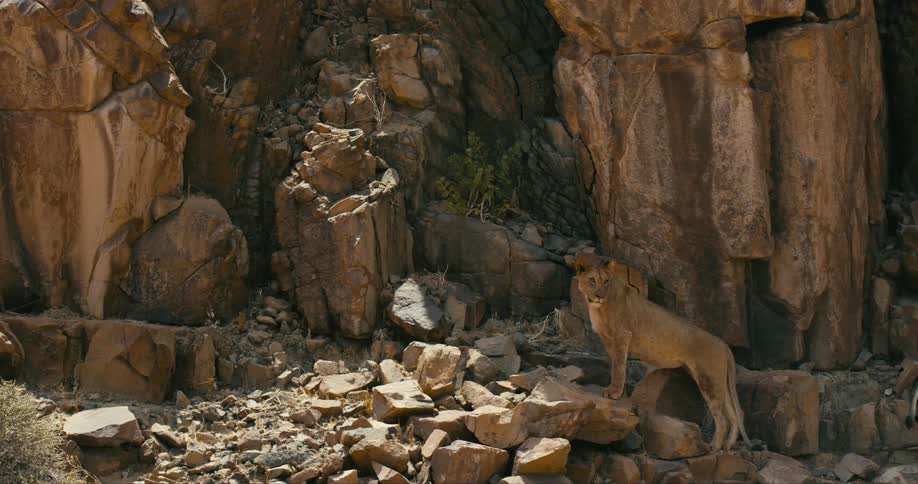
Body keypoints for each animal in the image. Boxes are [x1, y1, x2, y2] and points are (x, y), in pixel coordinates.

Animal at [575, 254, 750, 451]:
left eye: (606, 281)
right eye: (592, 280)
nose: (599, 295)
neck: (598, 308)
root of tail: (724, 345)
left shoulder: (622, 335)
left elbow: (618, 367)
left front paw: (613, 392)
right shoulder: (608, 340)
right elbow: (617, 366)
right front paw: (621, 394)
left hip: (709, 380)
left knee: (722, 418)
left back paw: (714, 446)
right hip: (720, 382)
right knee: (735, 414)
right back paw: (728, 445)